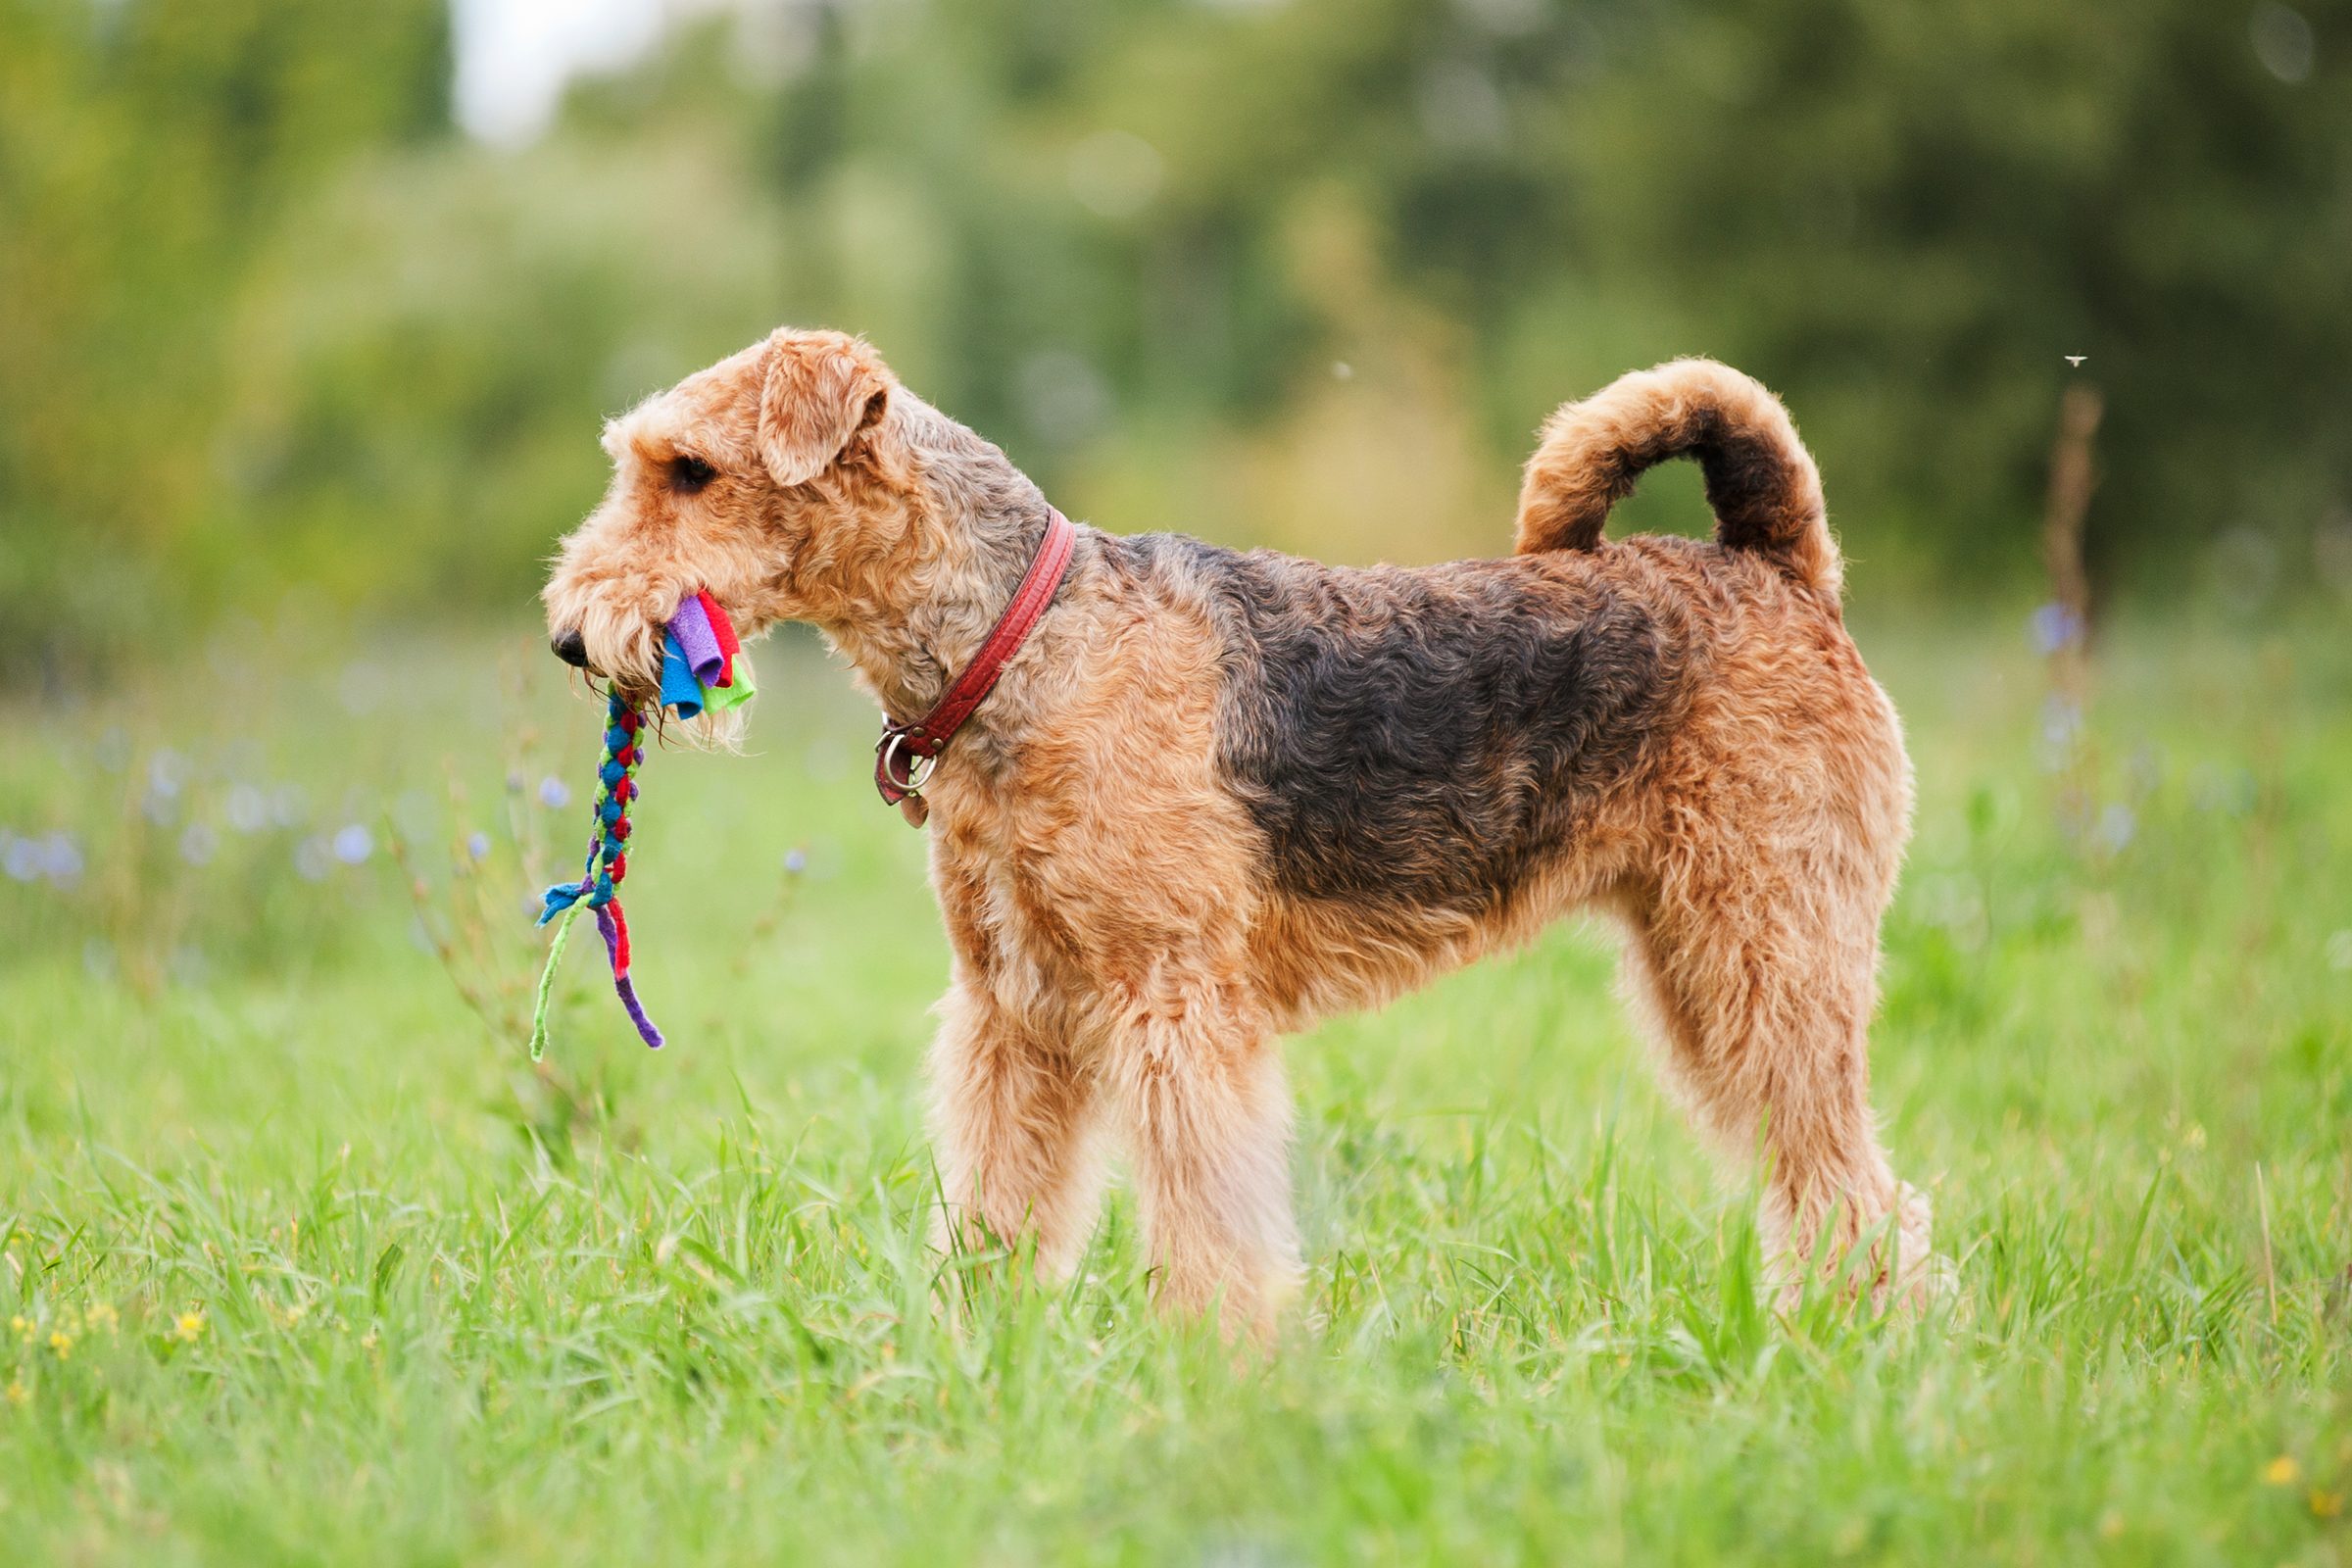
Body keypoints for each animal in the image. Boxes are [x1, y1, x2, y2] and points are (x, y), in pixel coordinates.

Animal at [541, 331, 1937, 1335]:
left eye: (691, 470)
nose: (567, 636)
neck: (1023, 641)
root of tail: (1776, 567)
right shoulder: (1013, 1007)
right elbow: (996, 1192)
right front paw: (972, 1344)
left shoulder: (1173, 999)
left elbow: (1204, 1209)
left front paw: (1216, 1361)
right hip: (1709, 964)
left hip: (1767, 950)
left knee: (1860, 1187)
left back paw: (1859, 1346)